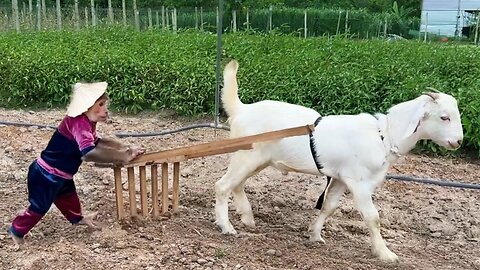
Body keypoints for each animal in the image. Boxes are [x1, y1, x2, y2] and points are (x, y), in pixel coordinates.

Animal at [216, 59, 464, 262]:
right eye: (444, 117)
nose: (459, 141)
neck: (384, 135)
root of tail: (242, 110)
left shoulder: (341, 178)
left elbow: (329, 207)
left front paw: (315, 235)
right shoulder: (360, 182)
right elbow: (372, 217)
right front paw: (385, 253)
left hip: (257, 160)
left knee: (237, 184)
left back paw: (247, 218)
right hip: (247, 157)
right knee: (223, 185)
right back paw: (226, 226)